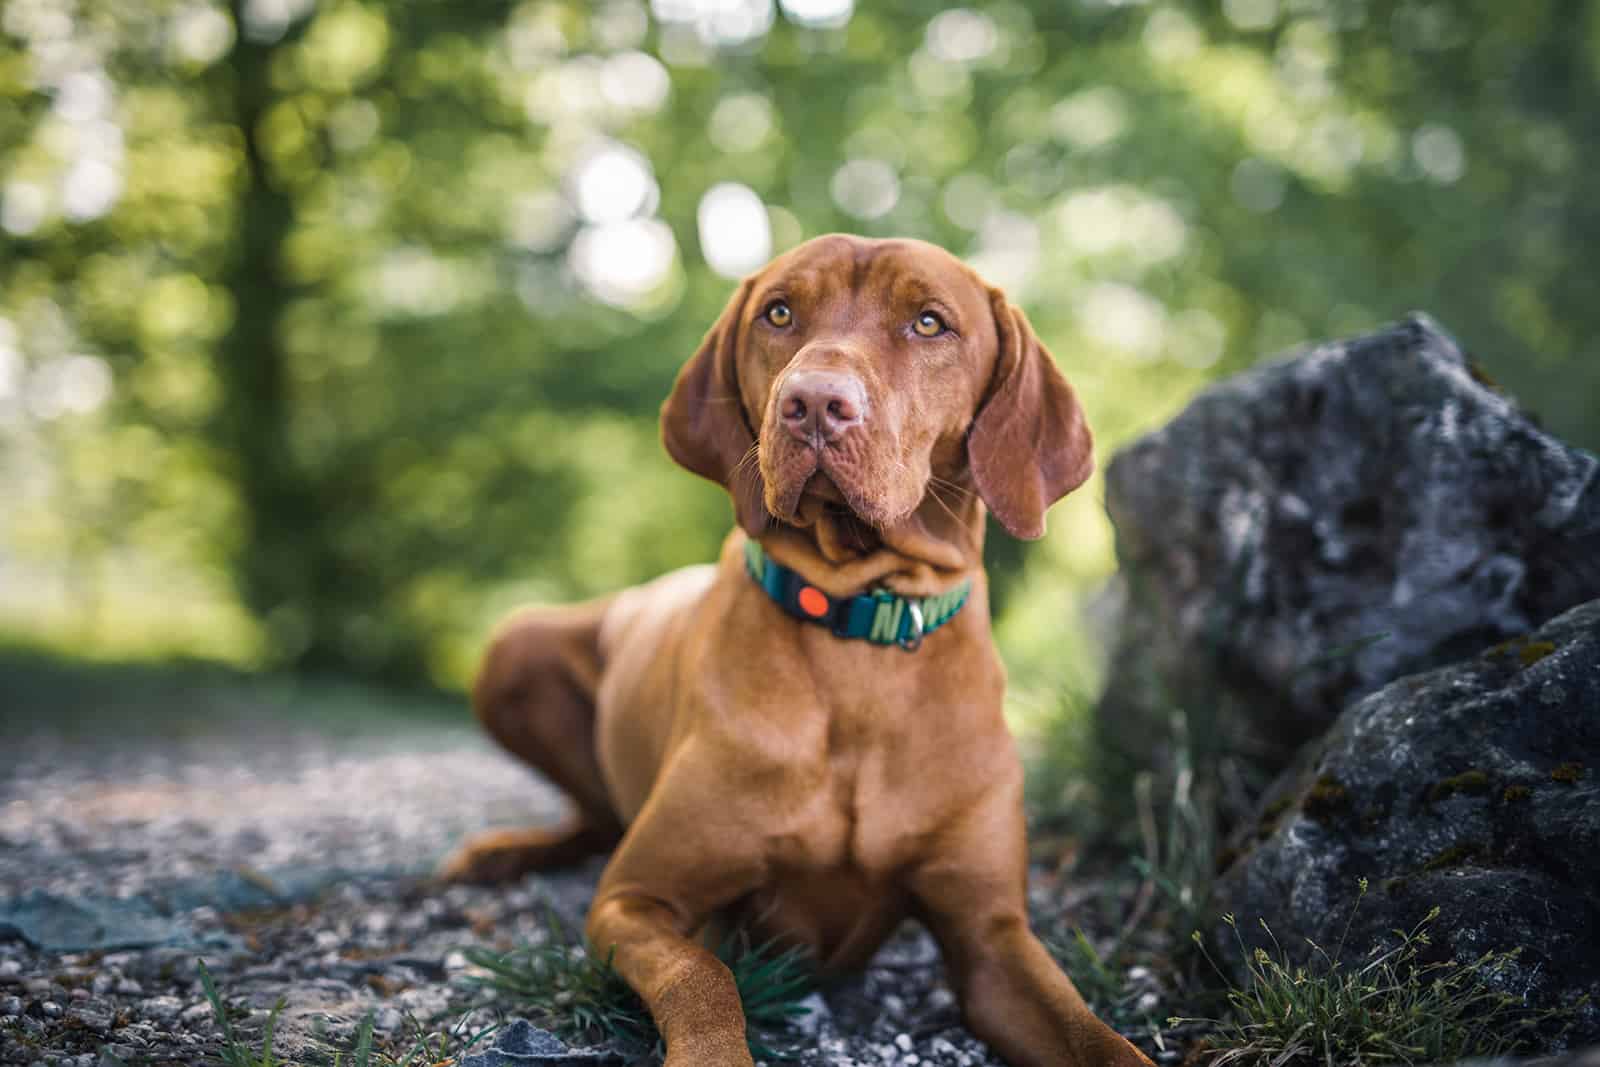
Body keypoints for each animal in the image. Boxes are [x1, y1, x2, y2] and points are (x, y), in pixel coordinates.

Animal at [444, 235, 1158, 1067]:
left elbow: (1096, 1034)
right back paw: (500, 852)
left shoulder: (991, 938)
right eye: (779, 313)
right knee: (592, 817)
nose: (814, 401)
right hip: (512, 647)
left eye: (929, 322)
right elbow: (703, 972)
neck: (859, 637)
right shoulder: (636, 898)